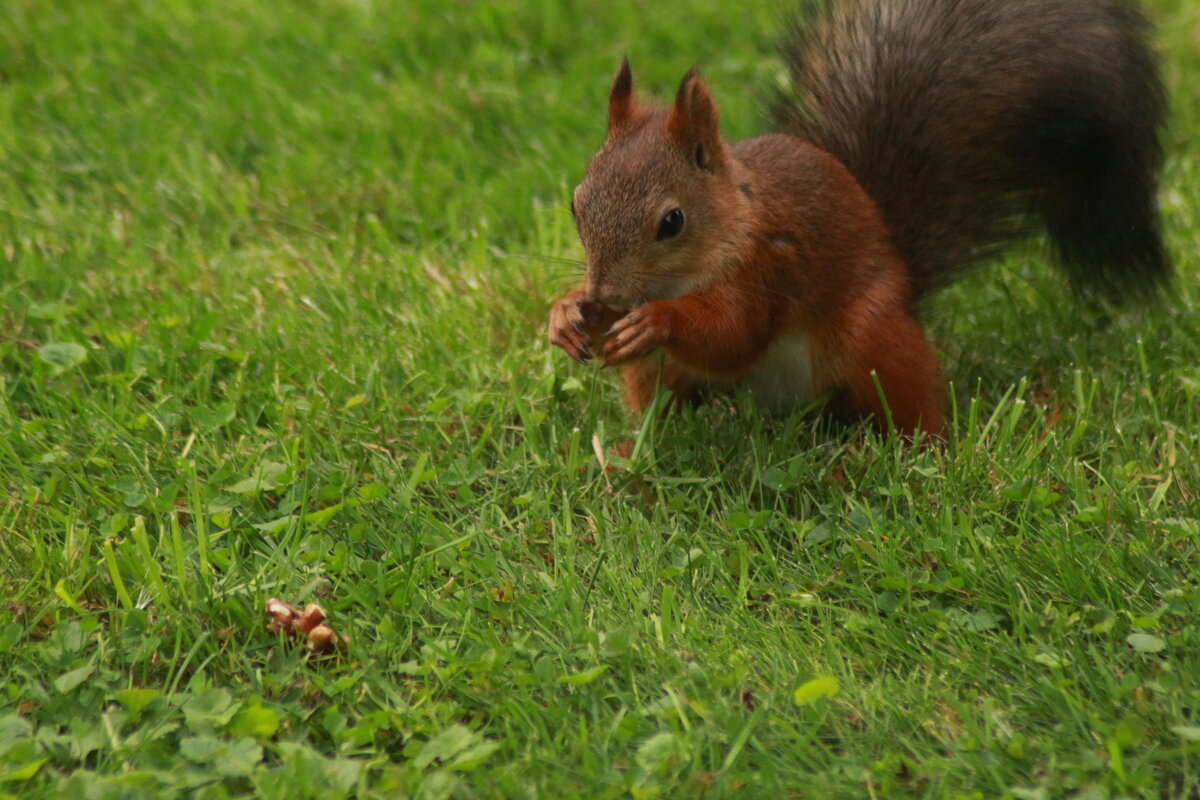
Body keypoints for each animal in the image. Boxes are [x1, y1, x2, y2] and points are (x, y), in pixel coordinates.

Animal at [549, 0, 1171, 438]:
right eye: (577, 202)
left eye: (672, 222)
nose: (605, 292)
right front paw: (566, 314)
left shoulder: (768, 266)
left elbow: (735, 334)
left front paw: (657, 321)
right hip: (663, 377)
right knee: (664, 404)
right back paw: (629, 454)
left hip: (874, 335)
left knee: (911, 406)